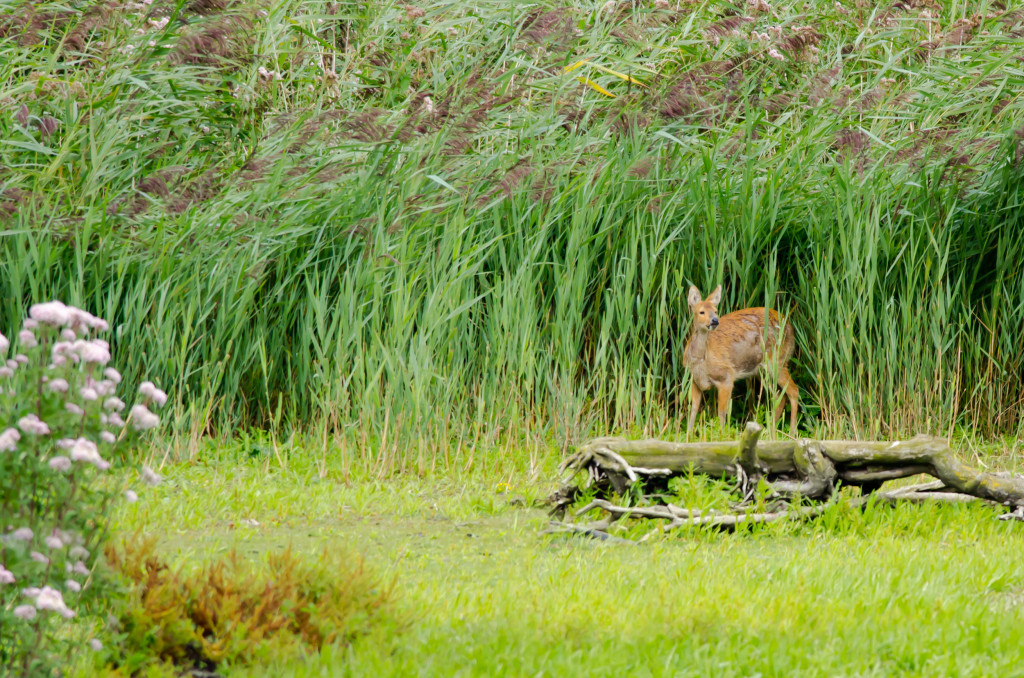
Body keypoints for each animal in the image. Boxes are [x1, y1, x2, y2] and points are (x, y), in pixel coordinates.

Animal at [688, 284, 798, 436]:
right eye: (701, 312)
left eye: (715, 310)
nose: (715, 320)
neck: (701, 360)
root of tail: (790, 326)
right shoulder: (695, 380)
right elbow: (693, 409)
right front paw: (688, 435)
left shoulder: (727, 377)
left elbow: (721, 412)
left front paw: (722, 435)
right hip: (761, 371)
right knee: (778, 395)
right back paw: (770, 431)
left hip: (777, 360)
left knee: (793, 391)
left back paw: (791, 433)